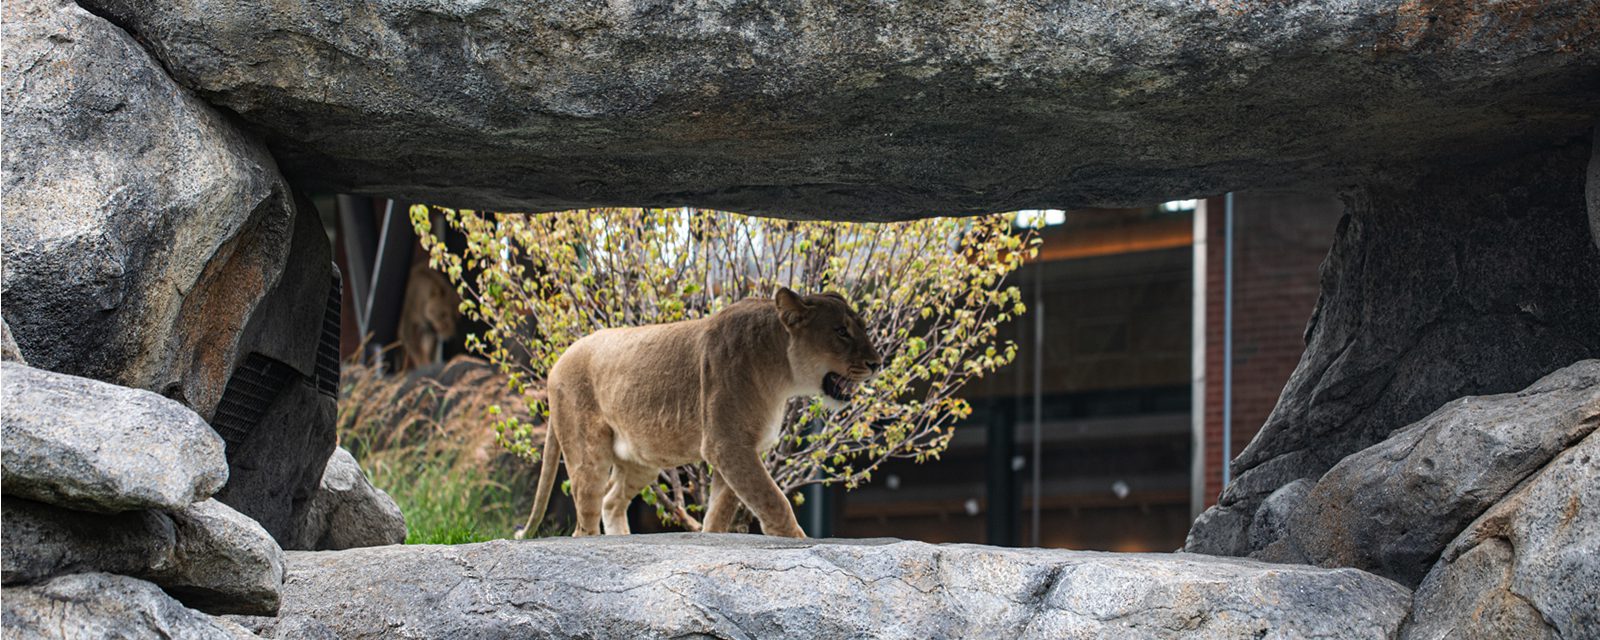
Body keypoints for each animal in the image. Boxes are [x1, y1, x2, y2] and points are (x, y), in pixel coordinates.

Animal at [521, 288, 876, 537]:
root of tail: (557, 361)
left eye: (861, 327)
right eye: (841, 331)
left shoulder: (736, 451)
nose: (877, 362)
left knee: (611, 500)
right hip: (588, 455)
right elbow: (773, 500)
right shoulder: (728, 445)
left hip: (641, 460)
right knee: (585, 520)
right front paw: (797, 540)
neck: (782, 374)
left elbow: (720, 510)